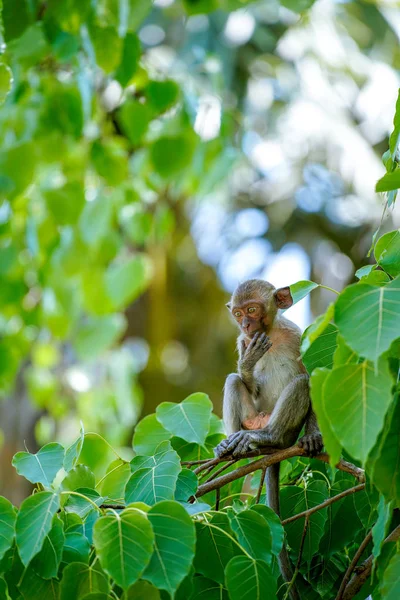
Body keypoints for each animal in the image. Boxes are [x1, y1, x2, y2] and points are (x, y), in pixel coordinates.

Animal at [214, 278, 324, 596]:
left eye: (252, 310)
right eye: (238, 314)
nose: (246, 325)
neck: (272, 332)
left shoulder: (297, 336)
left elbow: (310, 376)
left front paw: (314, 435)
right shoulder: (241, 342)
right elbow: (246, 378)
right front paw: (248, 363)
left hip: (287, 431)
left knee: (301, 382)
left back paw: (267, 436)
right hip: (251, 416)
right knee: (233, 381)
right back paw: (231, 444)